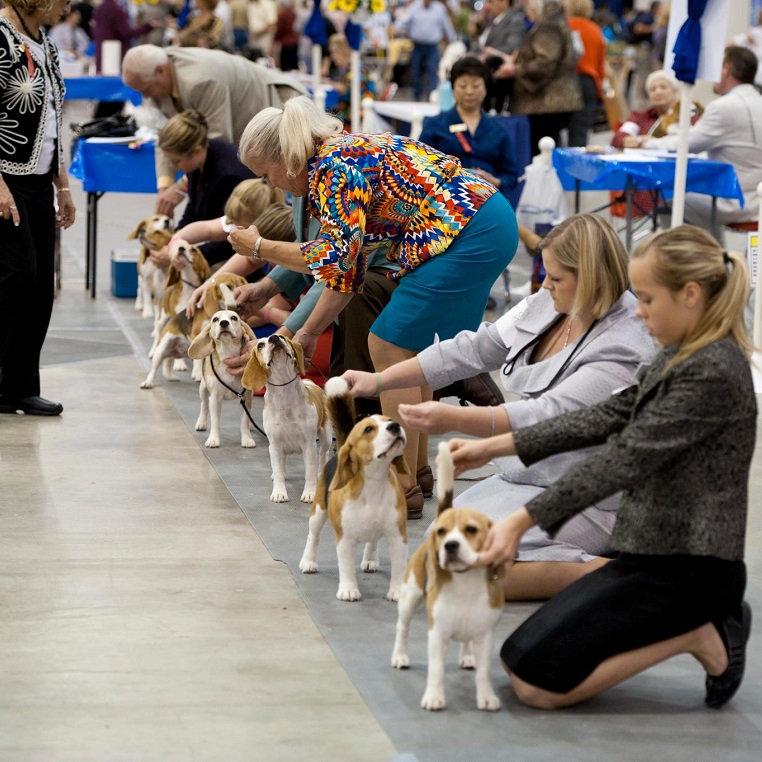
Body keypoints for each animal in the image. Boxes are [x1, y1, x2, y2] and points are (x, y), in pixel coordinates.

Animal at [140, 240, 209, 388]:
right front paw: (183, 366)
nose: (181, 248)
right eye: (182, 247)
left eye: (193, 249)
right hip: (163, 320)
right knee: (157, 337)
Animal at [188, 308, 256, 446]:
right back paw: (201, 422)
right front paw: (213, 439)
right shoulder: (215, 398)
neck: (227, 353)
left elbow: (244, 422)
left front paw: (246, 439)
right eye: (215, 319)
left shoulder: (245, 397)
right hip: (203, 389)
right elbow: (215, 422)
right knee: (204, 405)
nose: (224, 323)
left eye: (234, 318)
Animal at [240, 334, 330, 502]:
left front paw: (309, 493)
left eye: (282, 337)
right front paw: (279, 492)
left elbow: (309, 472)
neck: (284, 395)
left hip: (326, 437)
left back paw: (321, 474)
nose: (274, 337)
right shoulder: (275, 445)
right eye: (260, 345)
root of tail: (312, 383)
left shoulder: (309, 445)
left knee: (323, 455)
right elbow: (278, 470)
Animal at [296, 378, 406, 604]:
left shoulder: (398, 536)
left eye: (390, 420)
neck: (374, 482)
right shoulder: (345, 538)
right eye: (368, 429)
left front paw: (398, 593)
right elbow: (346, 567)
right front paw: (348, 590)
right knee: (314, 535)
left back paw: (370, 559)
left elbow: (399, 568)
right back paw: (308, 561)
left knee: (373, 540)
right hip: (318, 511)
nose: (395, 426)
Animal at [392, 442, 504, 708]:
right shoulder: (437, 635)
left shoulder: (484, 637)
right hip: (410, 597)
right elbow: (436, 670)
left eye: (471, 529)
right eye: (442, 532)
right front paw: (434, 697)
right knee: (402, 627)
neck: (464, 583)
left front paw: (486, 697)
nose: (450, 545)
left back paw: (467, 657)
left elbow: (484, 672)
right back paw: (400, 656)